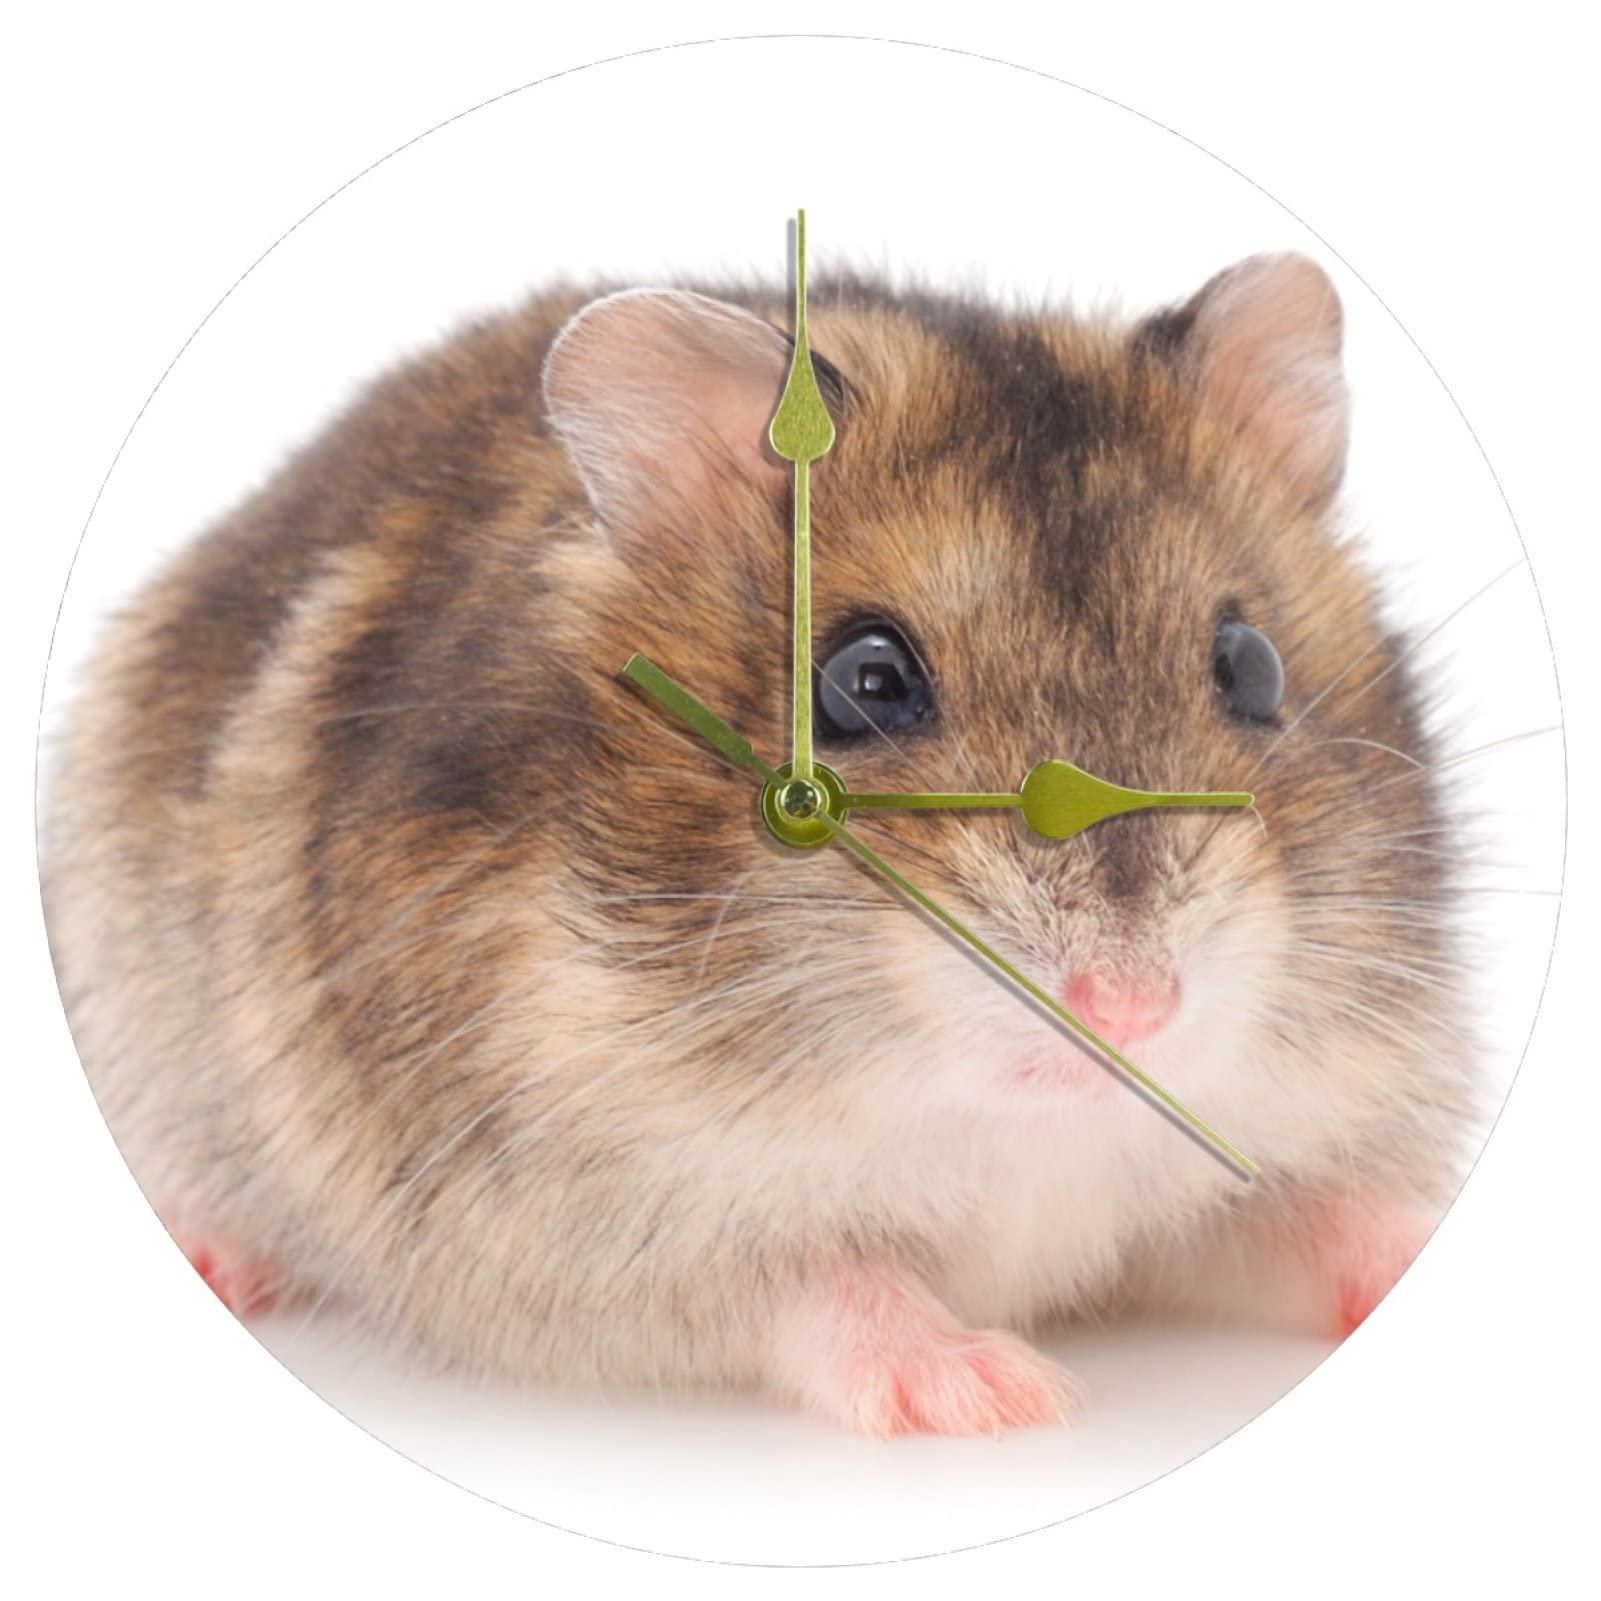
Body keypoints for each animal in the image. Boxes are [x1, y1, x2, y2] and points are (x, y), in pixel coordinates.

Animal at [42, 252, 1477, 1437]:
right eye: (864, 681)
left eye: (1250, 665)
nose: (1131, 1009)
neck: (1010, 1128)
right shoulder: (588, 1225)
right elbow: (826, 1284)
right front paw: (1001, 1393)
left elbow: (1327, 1214)